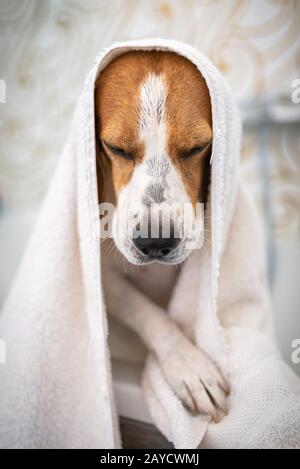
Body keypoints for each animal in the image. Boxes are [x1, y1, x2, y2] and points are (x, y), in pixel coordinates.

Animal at [96, 51, 230, 420]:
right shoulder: (104, 278)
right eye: (115, 148)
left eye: (198, 147)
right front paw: (187, 364)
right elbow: (146, 310)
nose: (154, 241)